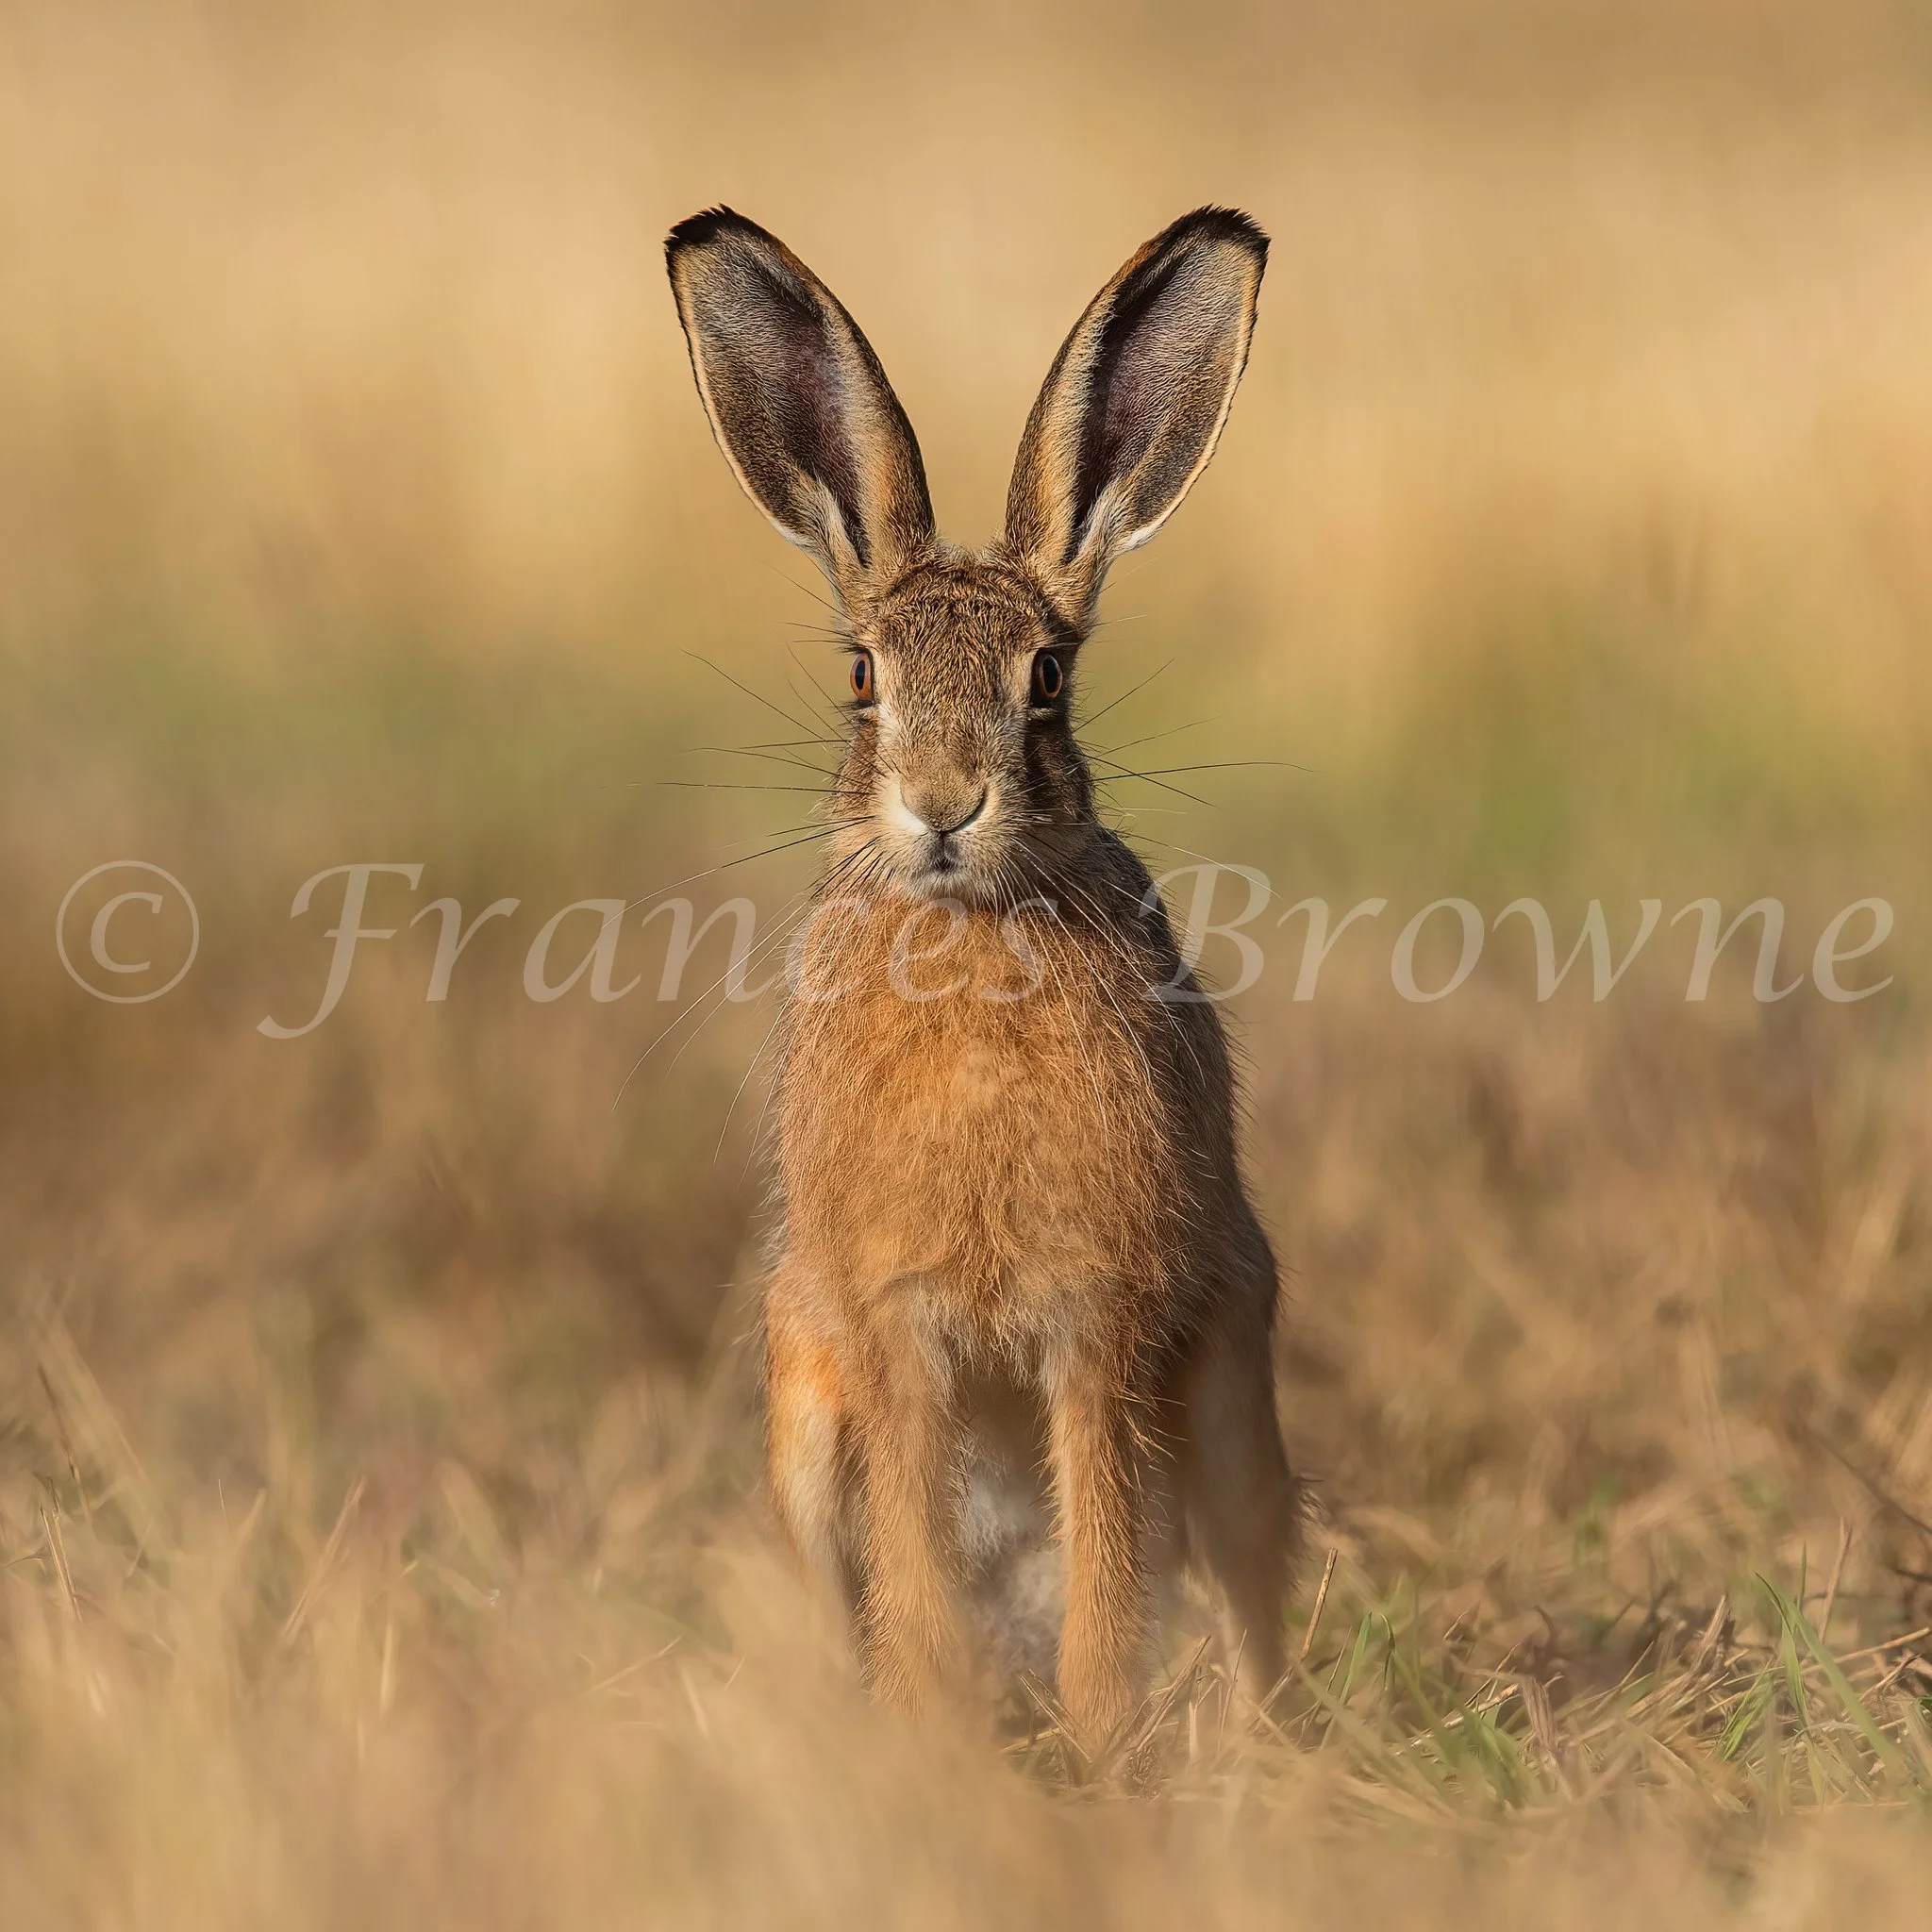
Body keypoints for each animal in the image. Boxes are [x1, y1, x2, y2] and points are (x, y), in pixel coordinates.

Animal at [665, 205, 1302, 1743]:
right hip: (799, 1397)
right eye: (861, 676)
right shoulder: (890, 1329)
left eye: (1049, 678)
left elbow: (1109, 1599)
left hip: (1236, 1407)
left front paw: (1103, 1746)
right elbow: (914, 1579)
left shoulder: (1100, 1319)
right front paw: (931, 1744)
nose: (944, 805)